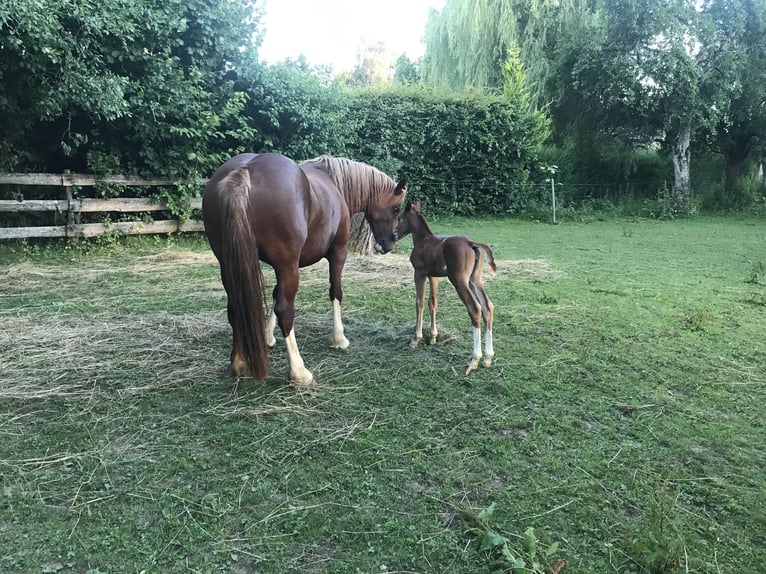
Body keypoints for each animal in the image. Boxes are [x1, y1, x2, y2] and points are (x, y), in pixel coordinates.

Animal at [204, 153, 408, 388]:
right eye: (396, 208)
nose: (388, 244)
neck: (334, 182)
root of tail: (244, 171)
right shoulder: (337, 253)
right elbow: (335, 292)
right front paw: (339, 338)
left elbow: (275, 294)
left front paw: (267, 336)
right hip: (288, 265)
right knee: (285, 310)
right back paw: (299, 371)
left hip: (231, 264)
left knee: (235, 306)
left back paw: (238, 363)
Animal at [396, 202, 498, 378]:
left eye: (400, 218)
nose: (394, 234)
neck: (423, 240)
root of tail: (472, 244)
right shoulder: (433, 276)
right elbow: (432, 303)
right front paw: (432, 338)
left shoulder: (419, 273)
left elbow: (419, 303)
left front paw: (416, 340)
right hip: (475, 280)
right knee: (487, 306)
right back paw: (487, 358)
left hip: (459, 281)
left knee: (475, 308)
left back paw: (475, 359)